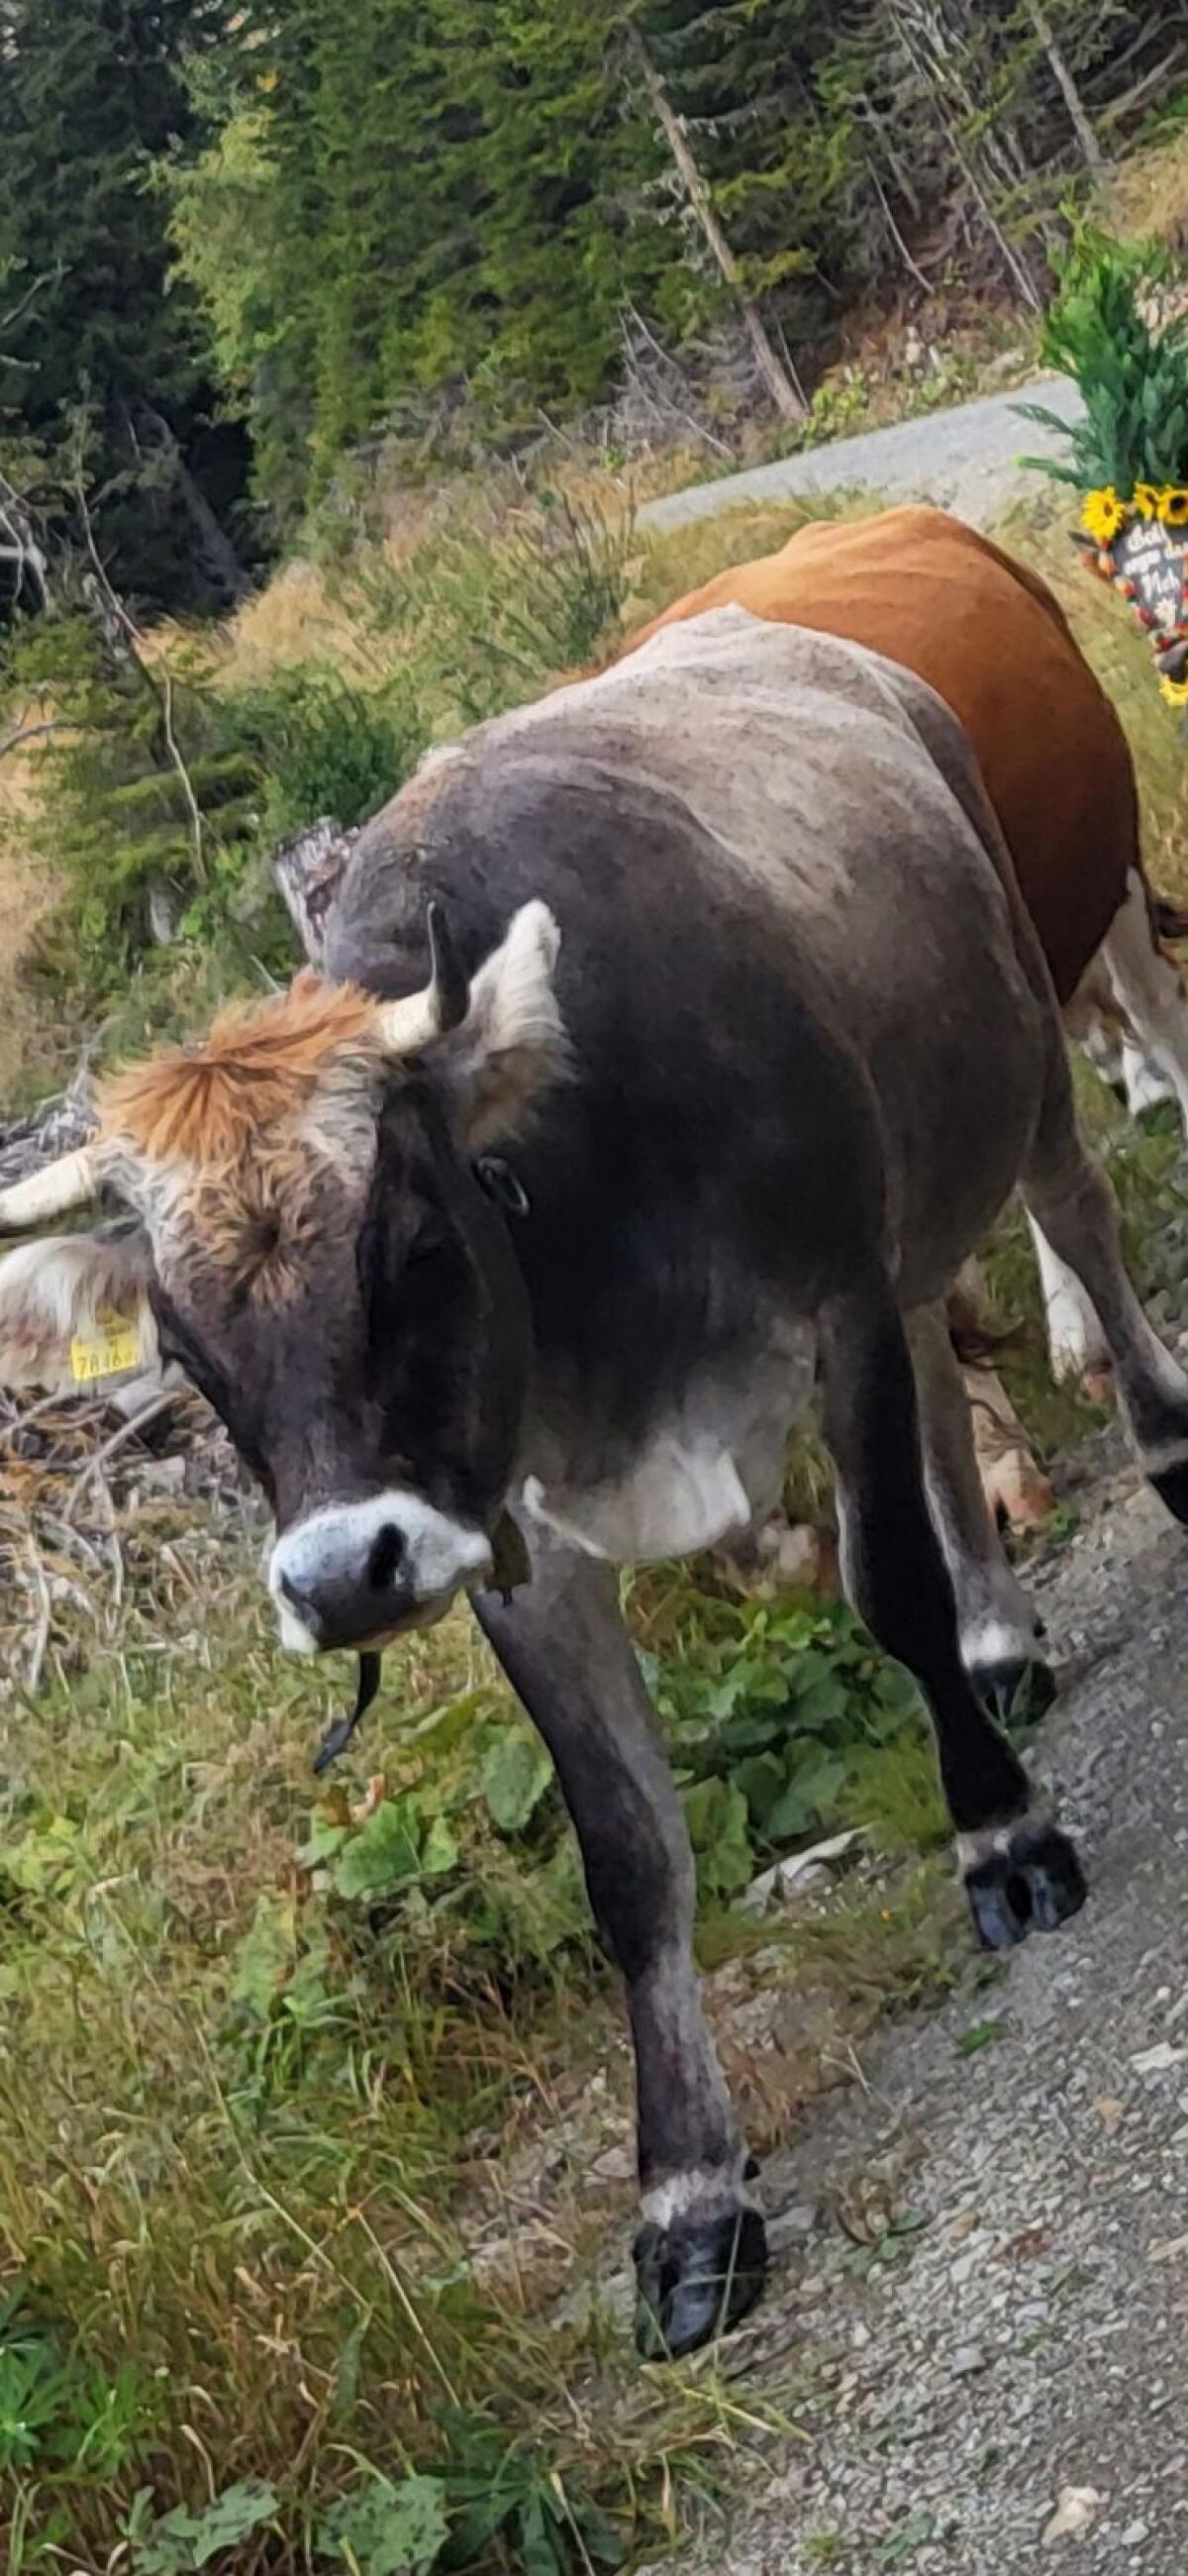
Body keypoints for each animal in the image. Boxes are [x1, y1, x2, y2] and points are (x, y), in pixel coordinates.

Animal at [3, 611, 1188, 2360]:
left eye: (413, 1246)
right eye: (186, 1344)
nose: (340, 1577)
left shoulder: (828, 1312)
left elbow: (886, 1588)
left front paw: (1000, 1836)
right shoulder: (502, 1532)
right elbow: (625, 1848)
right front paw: (689, 2201)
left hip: (1030, 1046)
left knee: (1084, 1228)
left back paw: (1155, 1449)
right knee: (944, 1355)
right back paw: (1002, 1636)